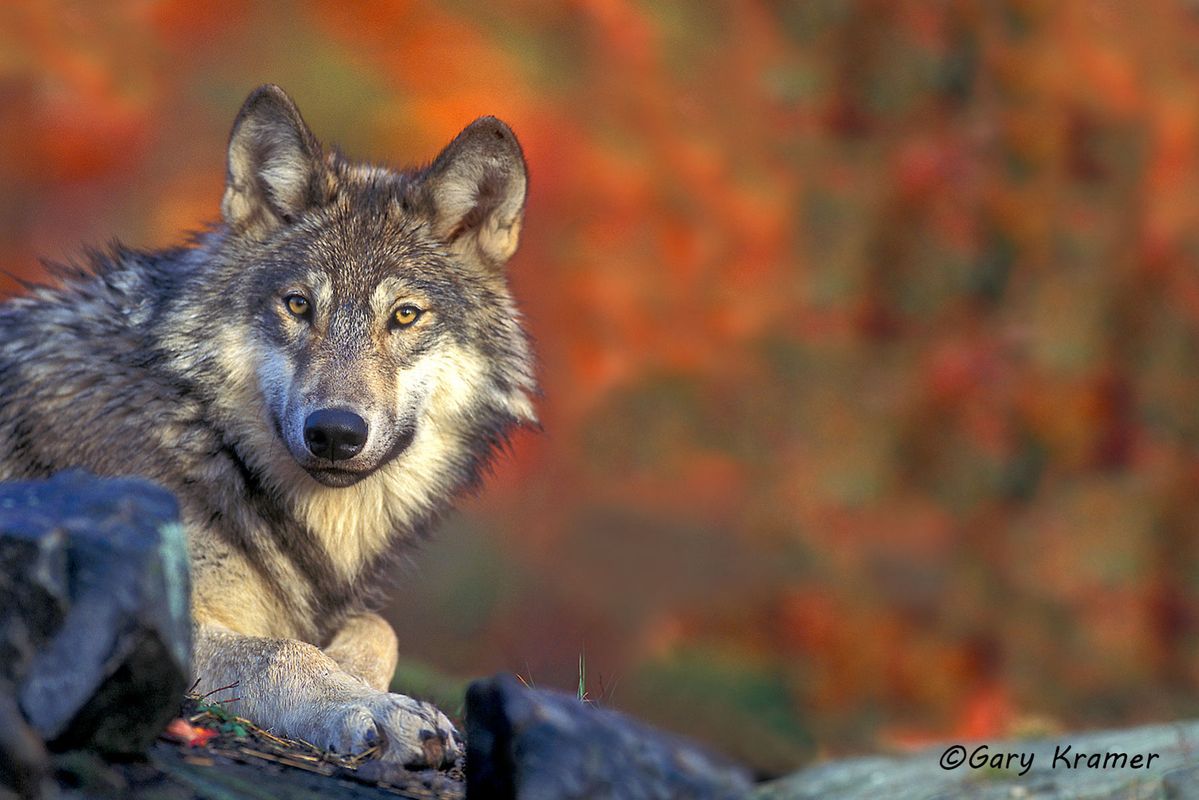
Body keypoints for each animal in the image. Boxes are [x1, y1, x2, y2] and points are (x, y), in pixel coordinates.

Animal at [0, 84, 539, 767]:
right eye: (298, 305)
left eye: (405, 315)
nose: (335, 432)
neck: (206, 437)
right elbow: (282, 650)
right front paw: (373, 707)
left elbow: (378, 627)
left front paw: (362, 680)